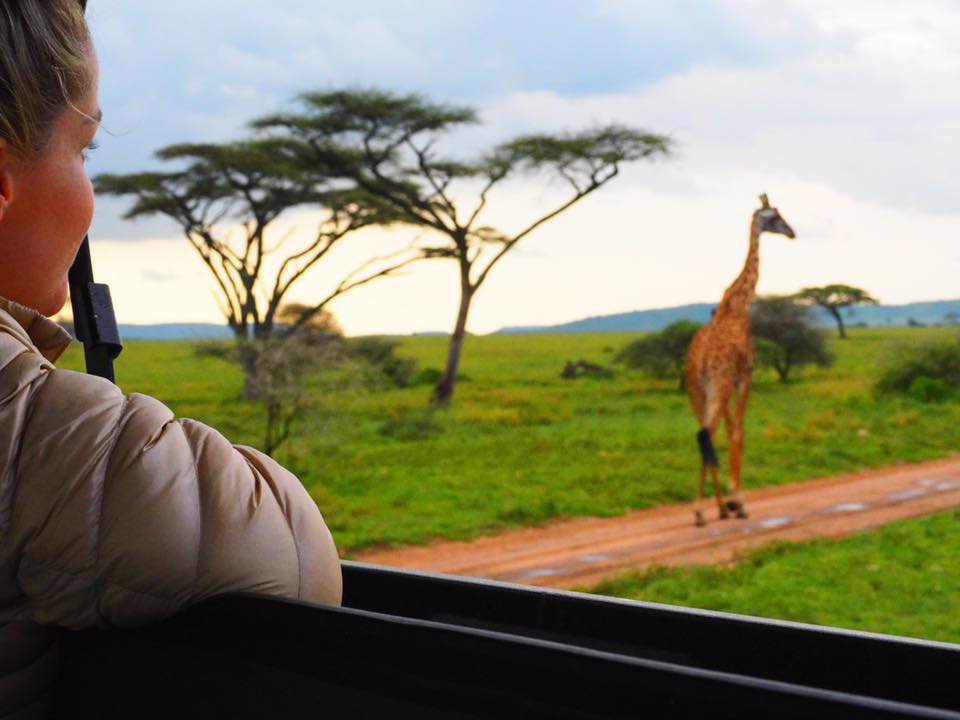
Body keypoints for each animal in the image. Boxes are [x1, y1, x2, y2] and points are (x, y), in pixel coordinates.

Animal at [683, 194, 796, 527]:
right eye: (775, 216)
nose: (792, 232)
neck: (738, 305)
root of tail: (701, 363)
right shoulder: (745, 375)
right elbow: (739, 432)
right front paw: (738, 502)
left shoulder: (728, 384)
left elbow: (729, 431)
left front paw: (729, 502)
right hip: (716, 386)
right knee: (707, 432)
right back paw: (704, 510)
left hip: (697, 390)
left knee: (704, 433)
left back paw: (711, 509)